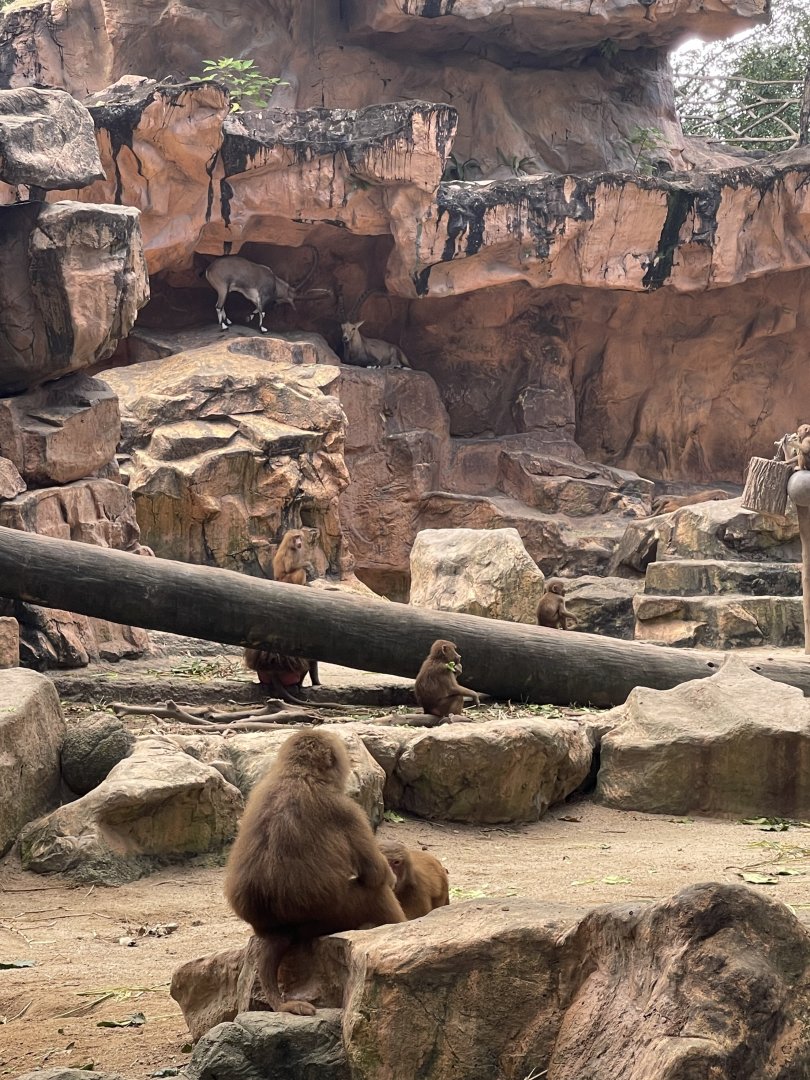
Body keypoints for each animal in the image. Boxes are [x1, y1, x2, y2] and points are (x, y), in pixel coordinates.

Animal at [224, 730, 406, 1015]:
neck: (298, 774)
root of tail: (278, 928)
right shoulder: (347, 810)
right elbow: (376, 874)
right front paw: (389, 876)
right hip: (336, 915)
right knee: (375, 893)